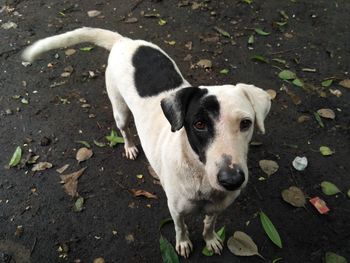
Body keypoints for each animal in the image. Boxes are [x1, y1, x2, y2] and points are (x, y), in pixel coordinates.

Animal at [22, 27, 270, 258]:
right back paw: (130, 146)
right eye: (199, 124)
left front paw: (210, 239)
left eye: (246, 123)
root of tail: (124, 41)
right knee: (124, 129)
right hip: (120, 110)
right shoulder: (175, 209)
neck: (199, 175)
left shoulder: (217, 208)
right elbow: (180, 228)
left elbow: (209, 224)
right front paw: (183, 243)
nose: (232, 180)